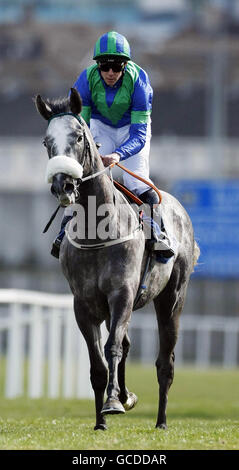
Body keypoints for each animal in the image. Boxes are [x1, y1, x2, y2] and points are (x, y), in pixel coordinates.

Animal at [35, 88, 200, 430]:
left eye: (79, 136)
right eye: (46, 141)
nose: (63, 184)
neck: (97, 234)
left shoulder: (121, 293)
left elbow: (111, 347)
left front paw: (112, 404)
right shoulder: (84, 303)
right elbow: (99, 361)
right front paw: (102, 418)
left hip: (172, 298)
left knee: (165, 362)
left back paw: (161, 421)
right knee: (125, 344)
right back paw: (126, 397)